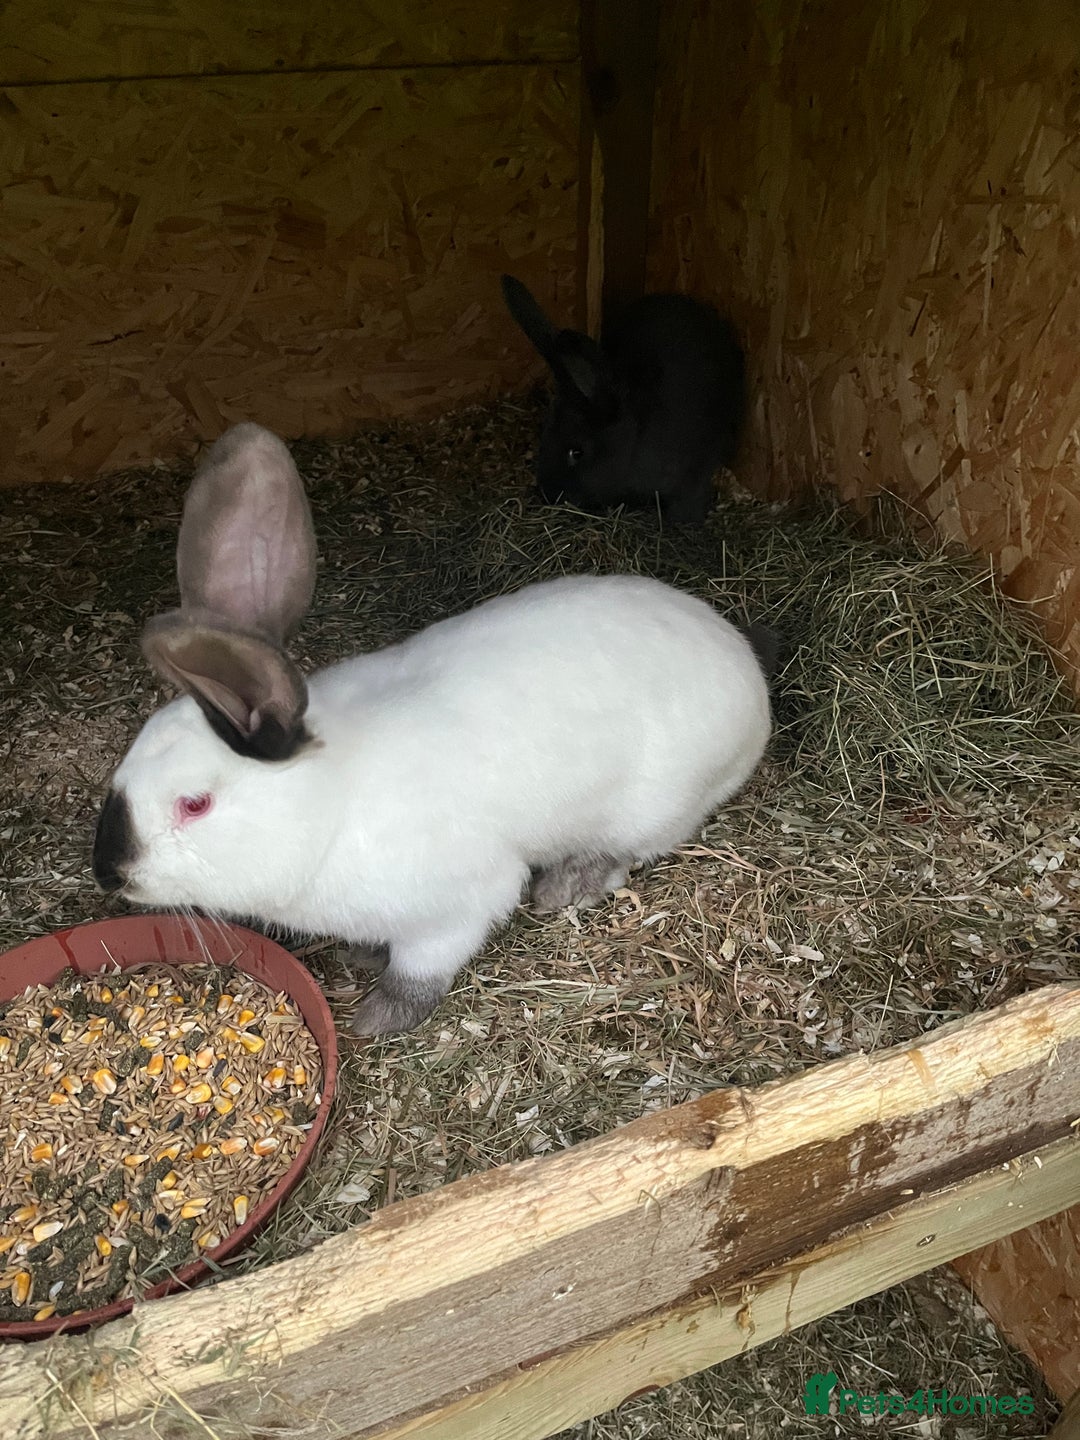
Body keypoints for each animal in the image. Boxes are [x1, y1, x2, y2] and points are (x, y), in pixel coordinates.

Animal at [92, 422, 774, 1038]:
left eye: (195, 804)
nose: (110, 873)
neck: (329, 804)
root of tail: (750, 679)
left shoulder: (458, 907)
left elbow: (422, 969)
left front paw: (376, 1018)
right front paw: (360, 953)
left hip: (654, 806)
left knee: (630, 850)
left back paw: (565, 886)